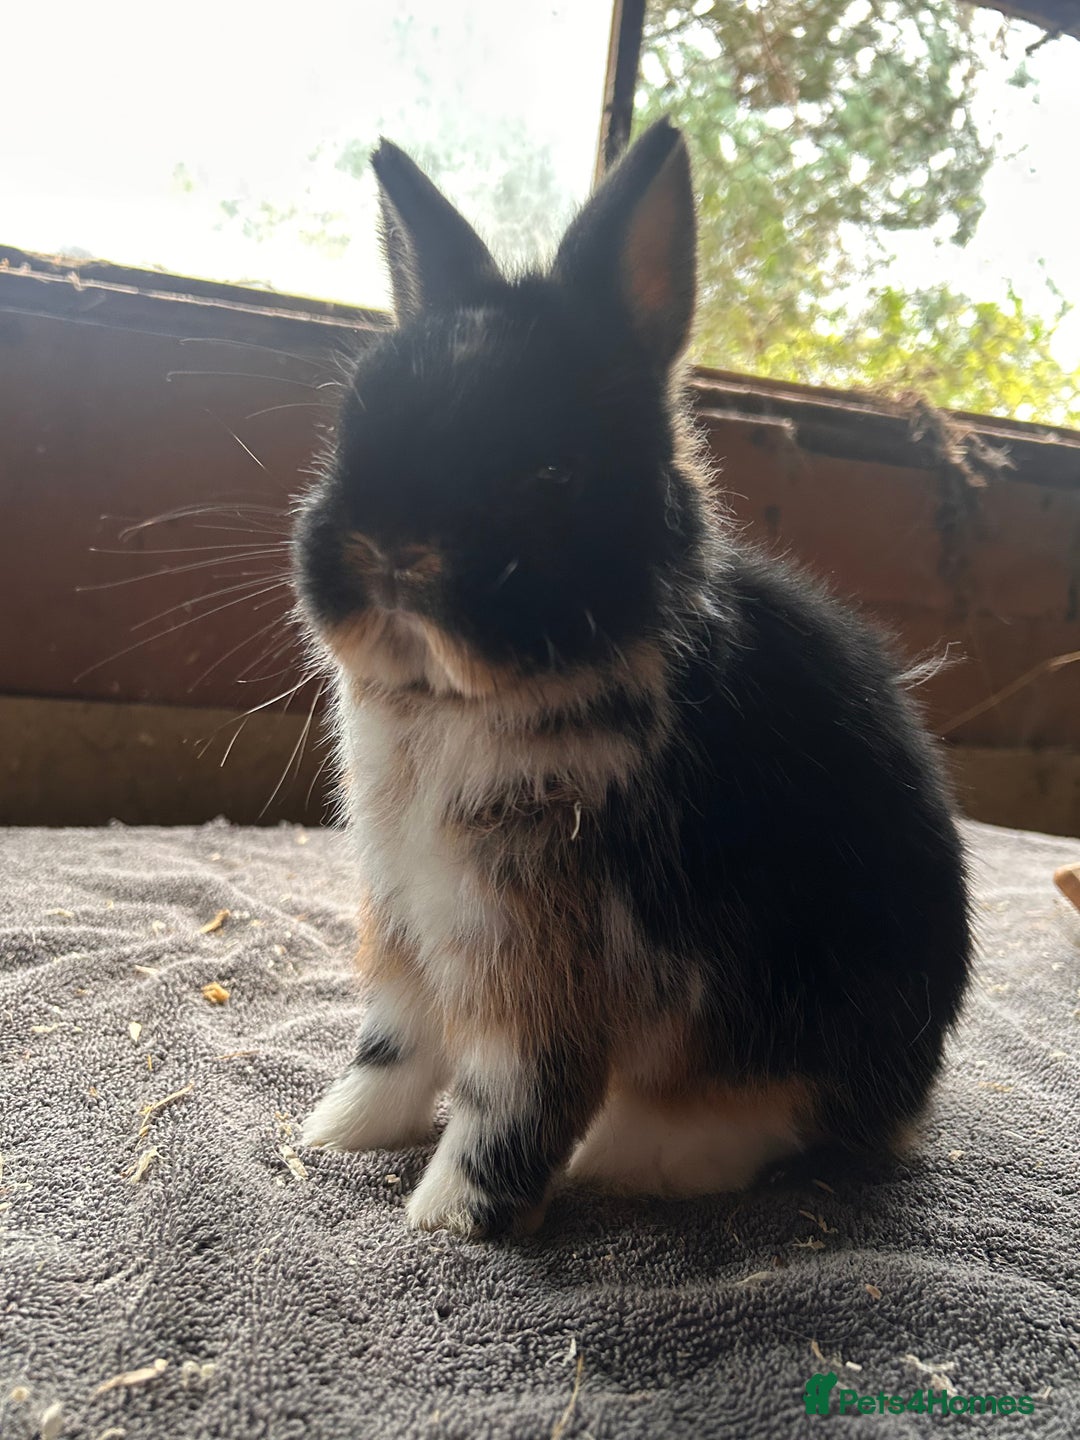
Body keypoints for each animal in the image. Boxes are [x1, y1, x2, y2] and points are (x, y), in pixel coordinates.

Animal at [294, 120, 971, 1238]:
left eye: (550, 474)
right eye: (352, 422)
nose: (391, 550)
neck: (457, 701)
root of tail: (908, 1106)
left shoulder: (546, 954)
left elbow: (513, 1099)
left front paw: (446, 1220)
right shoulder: (408, 925)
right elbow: (391, 1050)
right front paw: (330, 1138)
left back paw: (638, 1158)